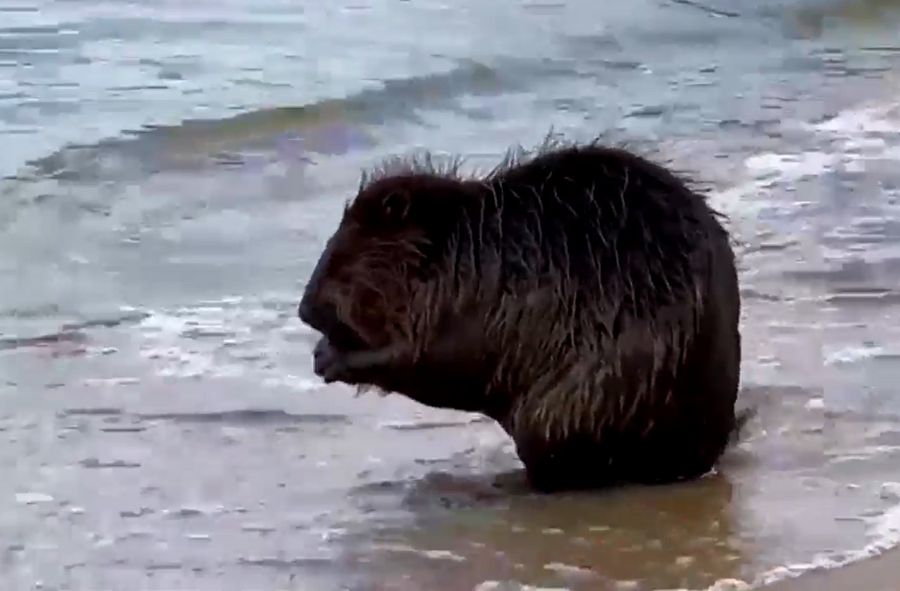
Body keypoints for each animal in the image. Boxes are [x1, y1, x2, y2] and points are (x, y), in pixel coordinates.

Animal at [298, 136, 740, 492]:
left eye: (341, 259)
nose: (304, 311)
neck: (461, 241)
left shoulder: (460, 298)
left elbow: (429, 360)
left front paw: (331, 358)